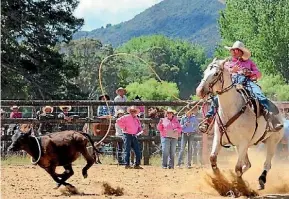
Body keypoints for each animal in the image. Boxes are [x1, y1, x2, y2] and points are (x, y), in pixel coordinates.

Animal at [195, 58, 282, 190]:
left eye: (216, 73)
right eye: (205, 72)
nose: (199, 91)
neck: (230, 109)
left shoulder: (243, 142)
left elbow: (237, 168)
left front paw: (240, 186)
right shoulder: (219, 137)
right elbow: (213, 158)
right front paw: (219, 179)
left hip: (272, 141)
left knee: (267, 164)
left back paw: (261, 181)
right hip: (241, 146)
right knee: (248, 164)